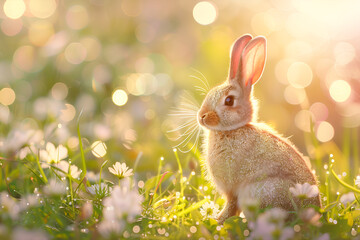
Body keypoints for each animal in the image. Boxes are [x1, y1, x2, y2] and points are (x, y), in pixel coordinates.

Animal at [198, 34, 322, 224]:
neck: (231, 130)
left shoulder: (232, 189)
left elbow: (230, 206)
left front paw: (218, 220)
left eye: (229, 101)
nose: (201, 116)